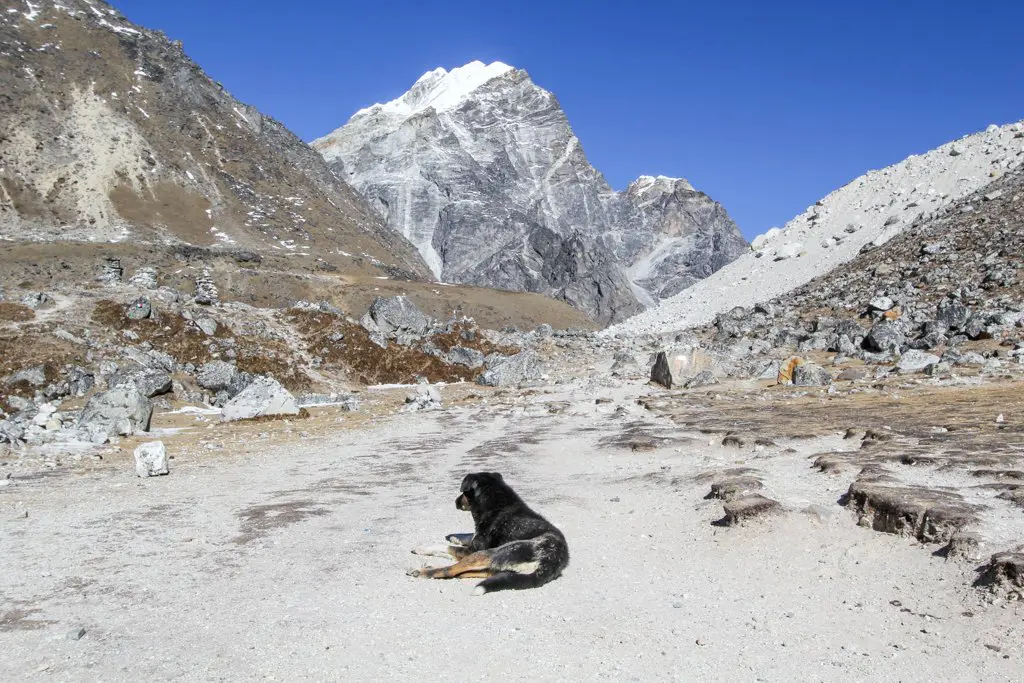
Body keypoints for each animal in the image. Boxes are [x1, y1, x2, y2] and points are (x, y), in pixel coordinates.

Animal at [405, 473, 569, 593]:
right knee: (461, 572)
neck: (498, 505)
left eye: (463, 494)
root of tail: (552, 562)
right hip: (496, 569)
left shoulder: (472, 550)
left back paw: (423, 571)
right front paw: (454, 537)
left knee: (450, 571)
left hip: (491, 553)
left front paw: (424, 547)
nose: (455, 501)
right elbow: (469, 535)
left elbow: (446, 547)